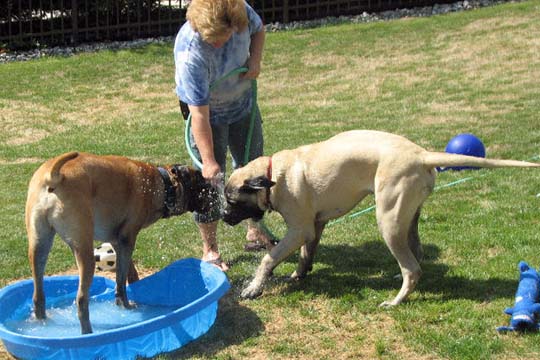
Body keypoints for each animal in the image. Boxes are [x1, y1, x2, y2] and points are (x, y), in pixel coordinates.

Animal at [24, 150, 215, 334]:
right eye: (200, 182)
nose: (214, 192)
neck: (161, 183)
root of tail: (53, 177)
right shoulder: (127, 239)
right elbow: (121, 281)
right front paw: (126, 306)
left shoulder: (117, 242)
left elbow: (127, 274)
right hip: (84, 251)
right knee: (81, 300)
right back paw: (88, 332)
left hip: (39, 246)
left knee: (38, 296)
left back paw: (42, 323)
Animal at [223, 129, 540, 304]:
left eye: (232, 201)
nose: (223, 215)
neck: (272, 174)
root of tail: (422, 155)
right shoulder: (316, 225)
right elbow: (305, 254)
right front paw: (300, 274)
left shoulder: (299, 229)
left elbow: (268, 258)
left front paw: (253, 287)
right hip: (408, 220)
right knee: (417, 256)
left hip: (388, 221)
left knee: (411, 269)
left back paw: (397, 300)